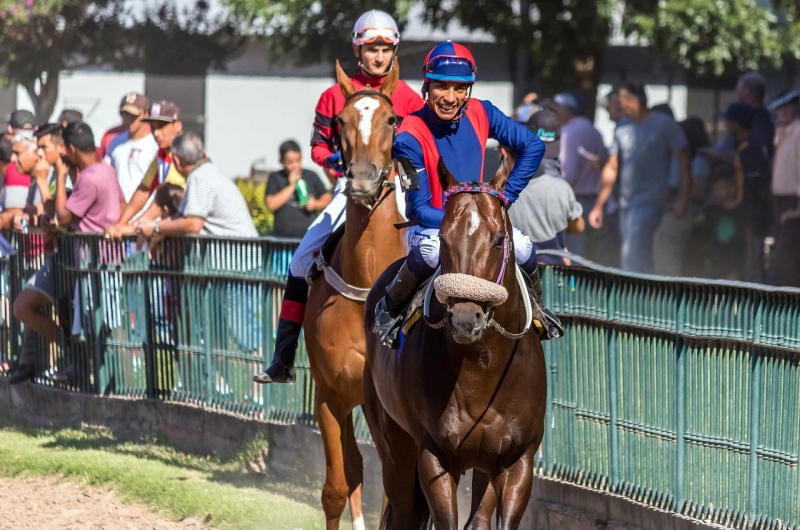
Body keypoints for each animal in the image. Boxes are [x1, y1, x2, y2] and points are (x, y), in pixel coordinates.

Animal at [364, 159, 548, 524]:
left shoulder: (515, 461)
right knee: (404, 510)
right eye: (444, 240)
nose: (465, 319)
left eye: (498, 240)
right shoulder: (434, 456)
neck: (483, 368)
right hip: (393, 442)